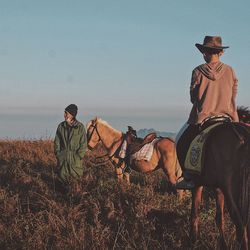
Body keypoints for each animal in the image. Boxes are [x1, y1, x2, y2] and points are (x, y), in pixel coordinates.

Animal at [182, 107, 250, 248]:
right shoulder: (219, 187)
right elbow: (219, 218)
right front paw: (223, 244)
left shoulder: (198, 183)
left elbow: (194, 213)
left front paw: (193, 241)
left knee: (240, 225)